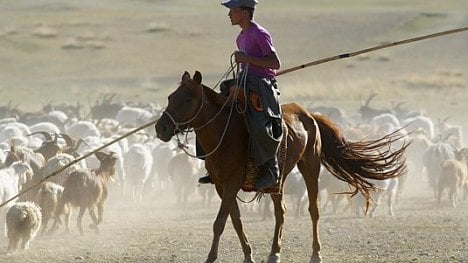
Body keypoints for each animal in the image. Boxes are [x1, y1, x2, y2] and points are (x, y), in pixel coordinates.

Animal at [155, 71, 408, 263]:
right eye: (170, 97)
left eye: (187, 100)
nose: (161, 128)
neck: (225, 133)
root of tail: (309, 114)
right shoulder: (220, 185)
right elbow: (235, 220)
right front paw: (248, 255)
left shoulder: (232, 183)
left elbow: (220, 222)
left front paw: (211, 258)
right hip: (278, 178)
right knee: (281, 211)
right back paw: (274, 252)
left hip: (310, 166)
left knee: (313, 209)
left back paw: (315, 253)